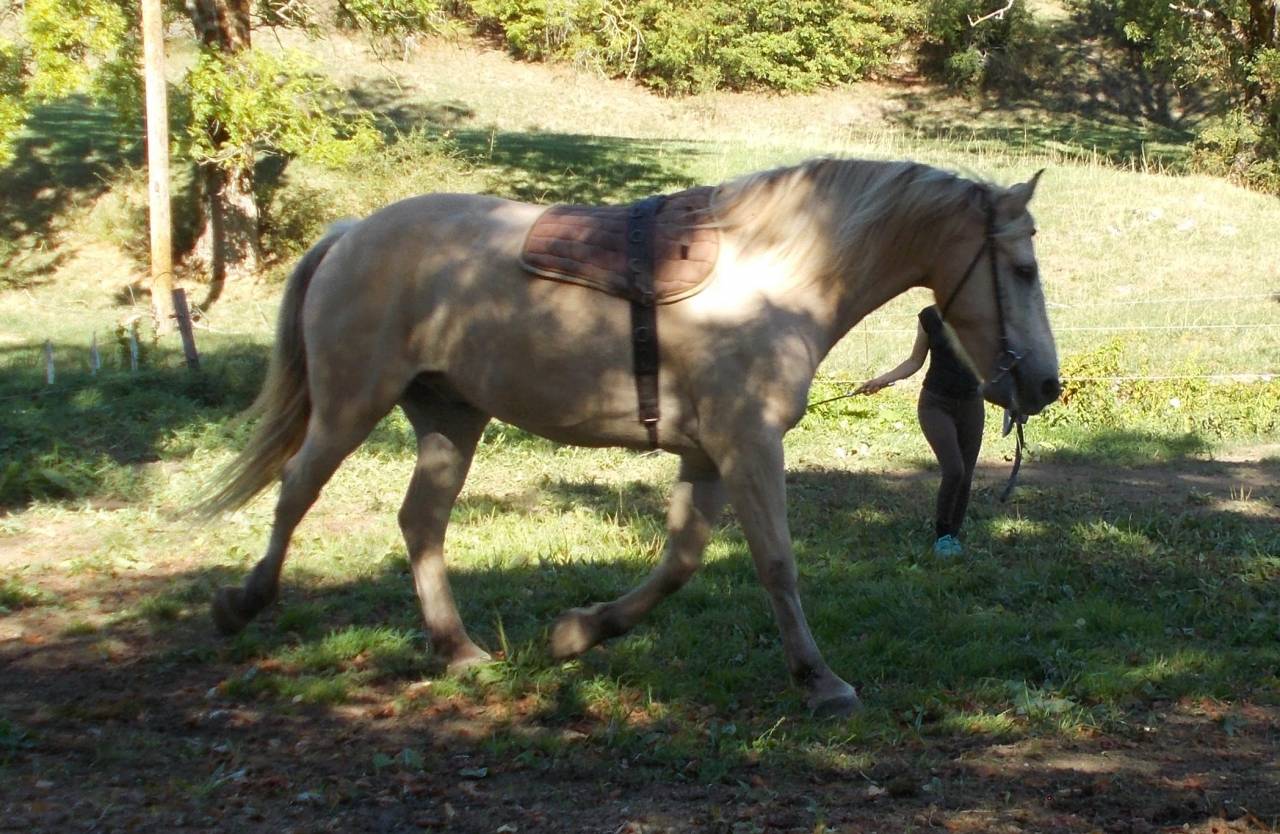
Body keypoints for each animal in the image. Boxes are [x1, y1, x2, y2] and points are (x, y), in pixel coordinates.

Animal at [201, 156, 1061, 717]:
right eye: (1021, 269)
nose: (1044, 386)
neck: (775, 273)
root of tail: (350, 234)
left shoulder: (707, 457)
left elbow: (680, 562)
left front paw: (579, 632)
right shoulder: (749, 447)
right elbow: (777, 564)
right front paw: (820, 681)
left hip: (450, 418)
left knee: (421, 522)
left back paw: (459, 649)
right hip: (351, 405)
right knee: (297, 490)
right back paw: (242, 603)